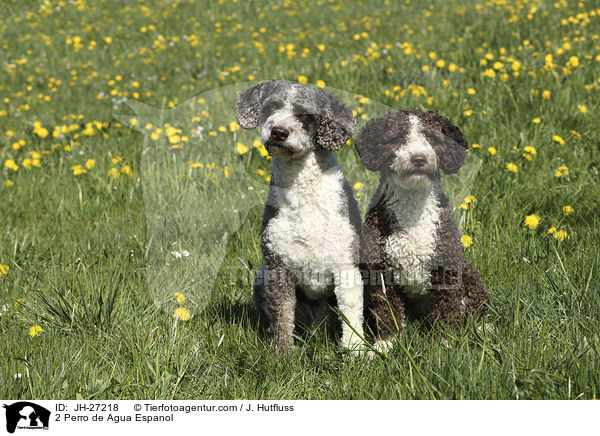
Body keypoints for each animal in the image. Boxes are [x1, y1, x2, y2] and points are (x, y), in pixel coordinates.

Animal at [237, 81, 364, 354]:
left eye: (305, 115)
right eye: (271, 107)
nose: (278, 132)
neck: (303, 197)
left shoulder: (346, 265)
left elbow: (351, 313)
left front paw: (356, 351)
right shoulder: (278, 266)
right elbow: (282, 314)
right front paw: (283, 353)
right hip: (262, 276)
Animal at [356, 110, 488, 352]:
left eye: (432, 138)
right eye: (397, 138)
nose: (419, 159)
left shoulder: (446, 267)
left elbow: (447, 310)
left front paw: (446, 343)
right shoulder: (381, 273)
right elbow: (387, 312)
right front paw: (385, 344)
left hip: (468, 273)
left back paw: (484, 329)